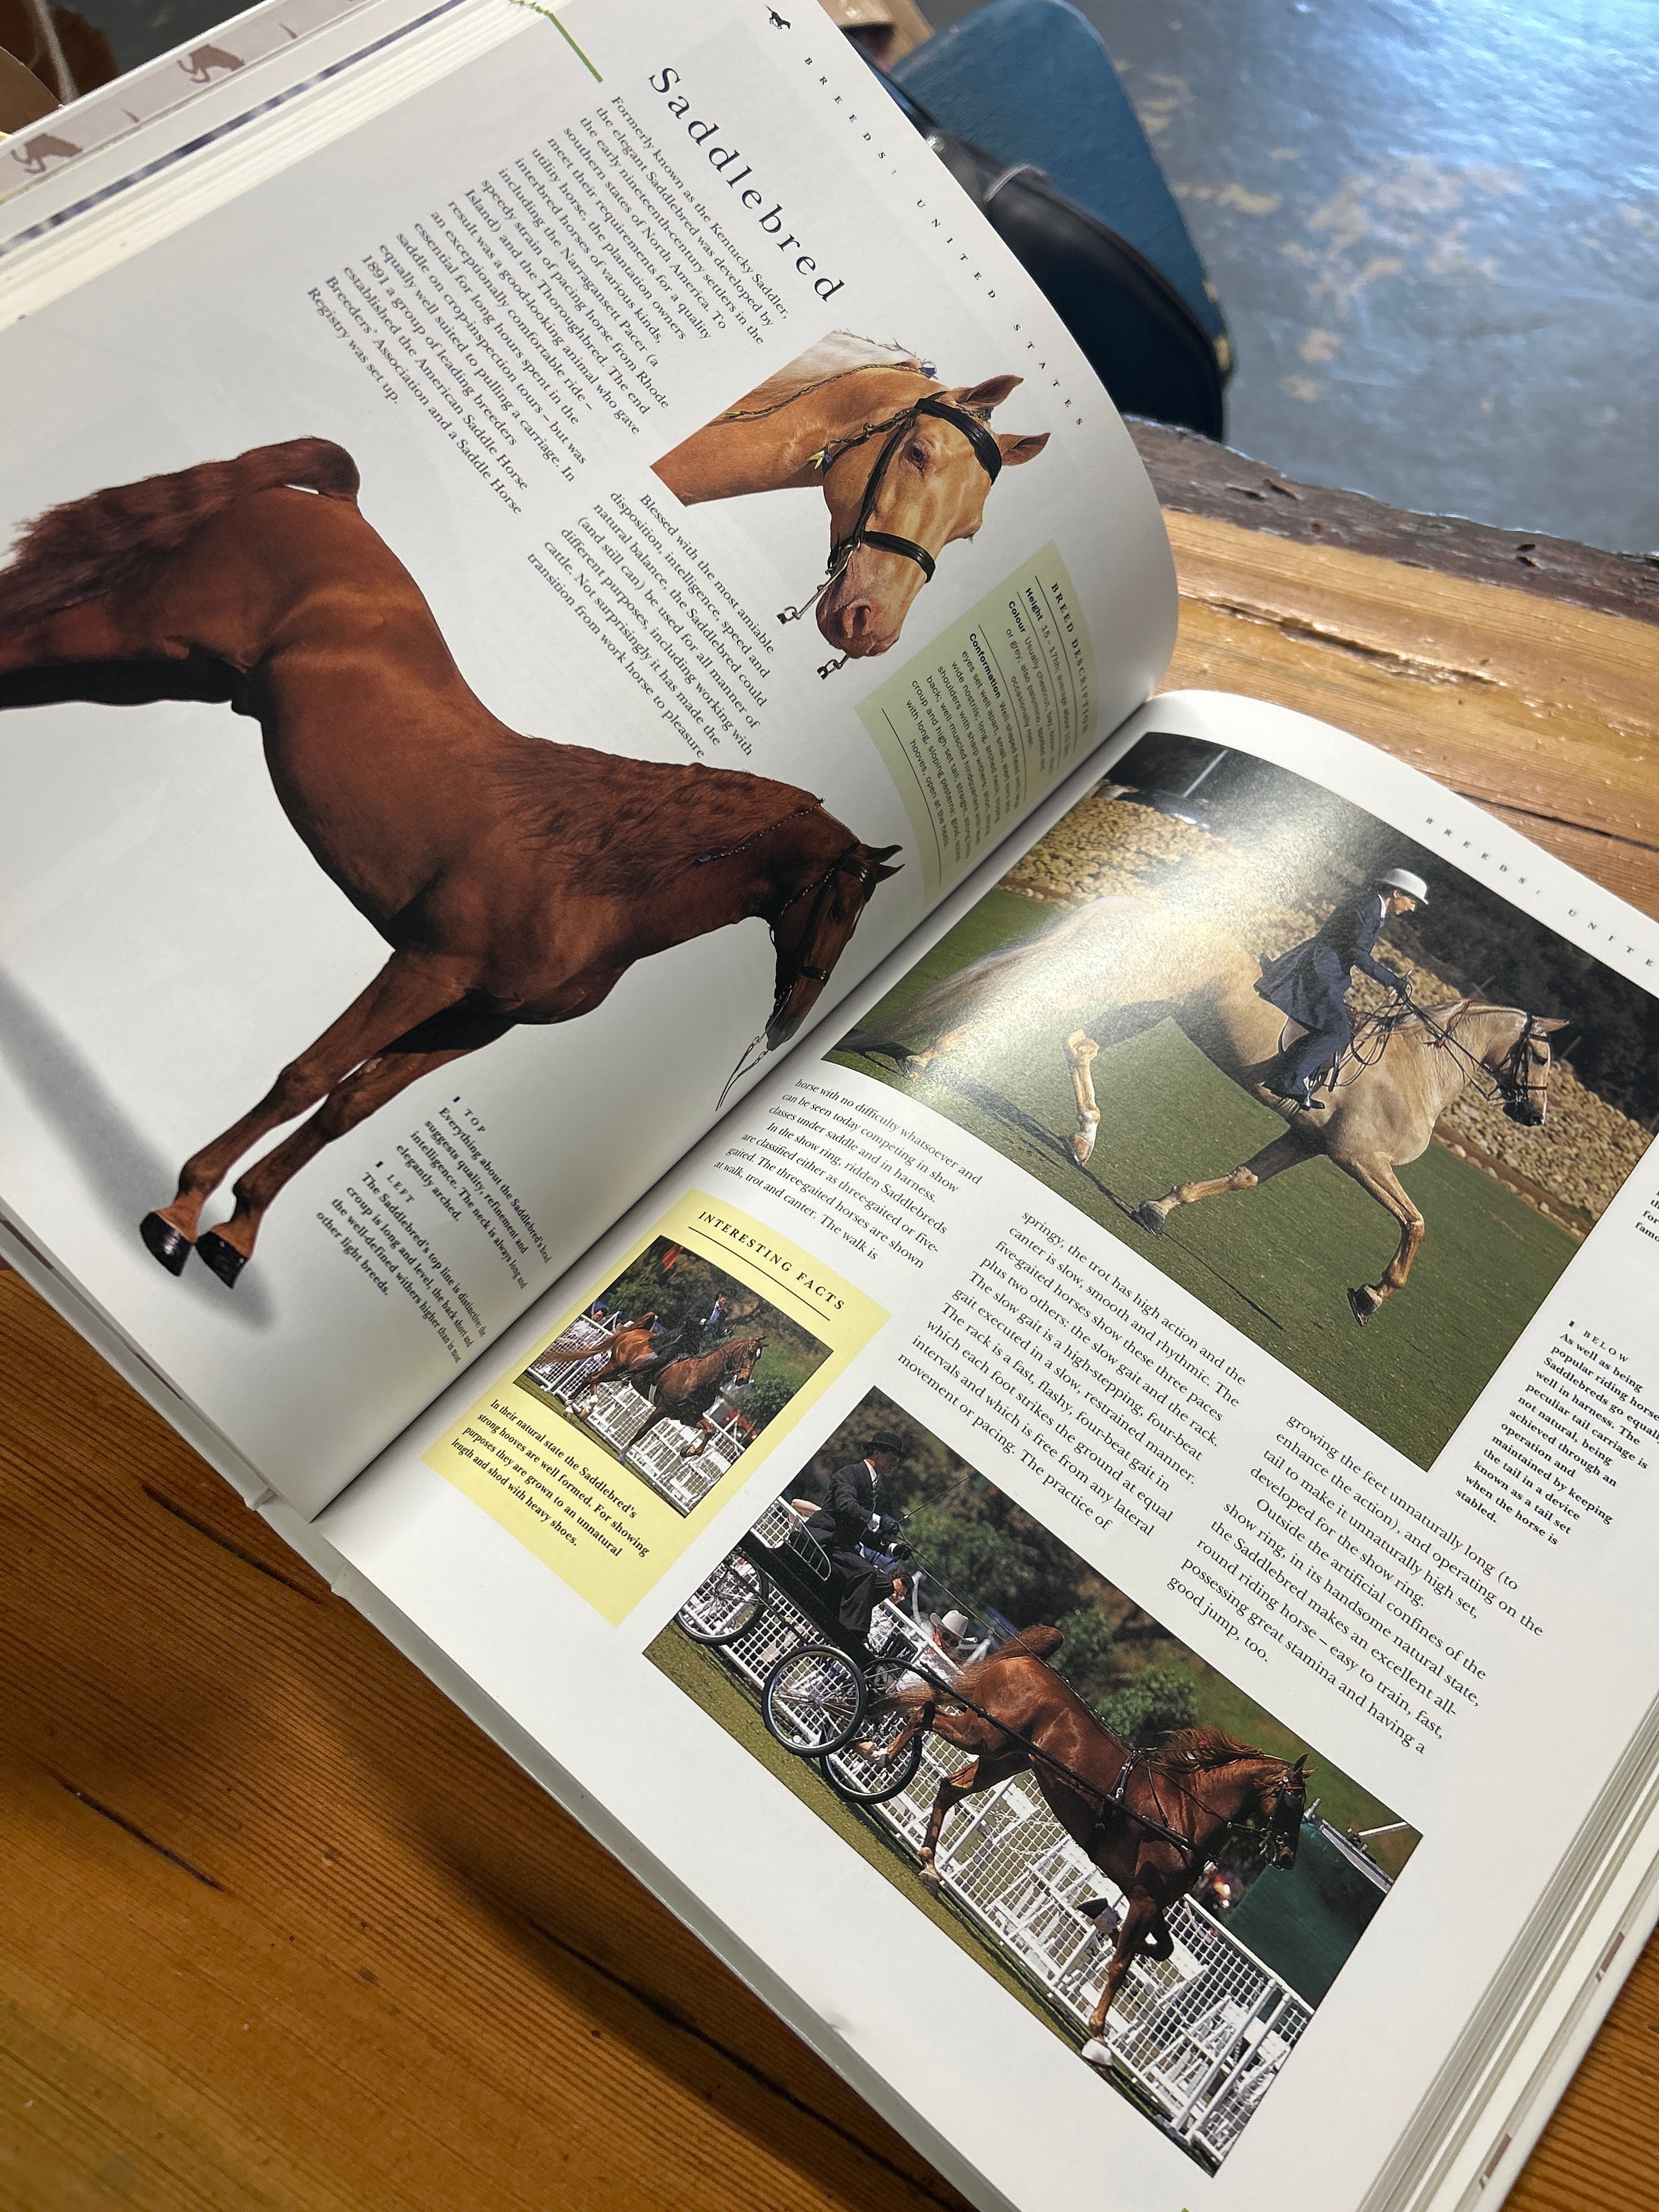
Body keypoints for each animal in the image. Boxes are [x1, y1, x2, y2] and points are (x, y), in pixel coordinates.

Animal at [0, 439, 901, 1288]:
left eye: (858, 913)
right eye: (834, 901)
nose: (791, 1025)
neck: (596, 876)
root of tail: (334, 503)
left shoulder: (473, 1021)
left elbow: (346, 1110)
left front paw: (235, 1237)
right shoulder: (424, 968)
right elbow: (304, 1078)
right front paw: (179, 1217)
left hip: (153, 671)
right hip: (133, 632)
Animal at [629, 1334, 764, 1458]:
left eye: (759, 1358)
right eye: (751, 1353)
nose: (744, 1380)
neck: (701, 1377)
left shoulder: (688, 1417)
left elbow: (710, 1431)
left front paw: (688, 1451)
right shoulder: (662, 1409)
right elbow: (641, 1432)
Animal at [860, 898, 1565, 1323]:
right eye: (1543, 1057)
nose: (1534, 1119)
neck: (1419, 1069)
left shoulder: (1309, 1143)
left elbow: (1245, 1178)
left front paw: (1158, 1209)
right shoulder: (1360, 1159)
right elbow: (1416, 1225)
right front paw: (1371, 1296)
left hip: (1145, 1007)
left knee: (1078, 1045)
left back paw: (1083, 1140)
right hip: (1114, 987)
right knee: (1024, 1007)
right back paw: (928, 1062)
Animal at [863, 1631, 1308, 2037]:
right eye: (1293, 1801)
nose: (1287, 1858)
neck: (1187, 1813)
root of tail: (1024, 1662)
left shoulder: (1150, 1900)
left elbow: (1163, 1949)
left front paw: (1102, 1918)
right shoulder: (1145, 1900)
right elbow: (1123, 1964)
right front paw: (1097, 2027)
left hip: (1004, 1758)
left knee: (948, 1785)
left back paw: (929, 1861)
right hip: (984, 1734)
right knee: (924, 1714)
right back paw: (879, 1753)